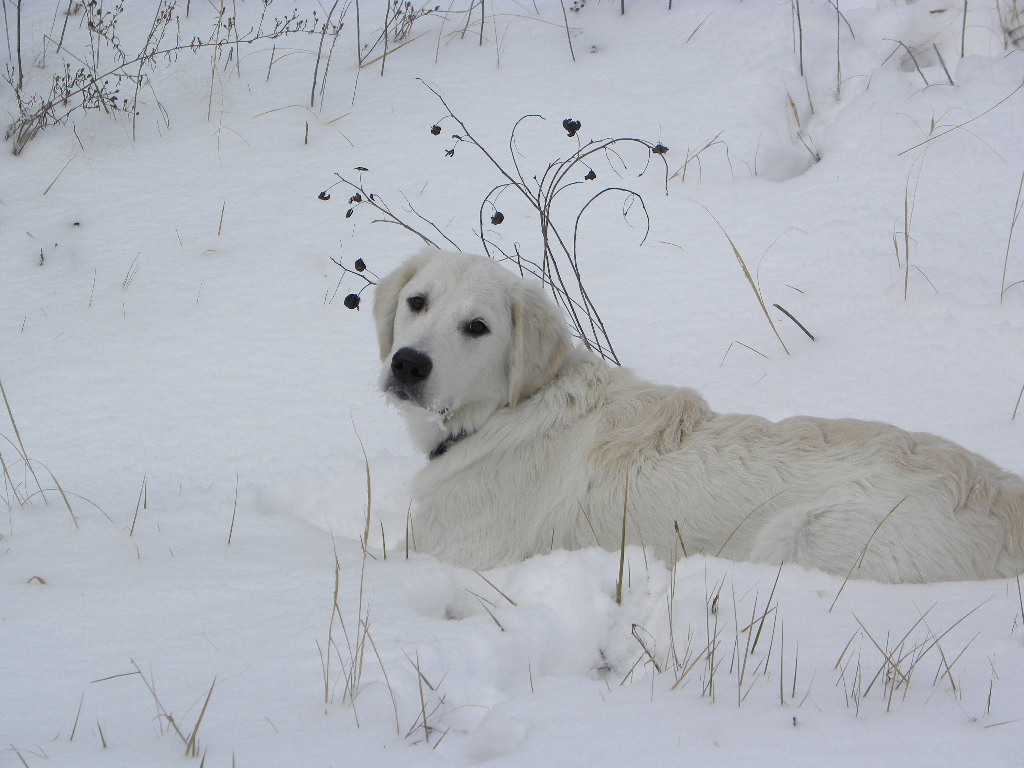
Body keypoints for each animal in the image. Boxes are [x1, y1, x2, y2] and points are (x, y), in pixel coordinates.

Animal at [373, 248, 1024, 583]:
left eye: (477, 327)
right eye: (416, 302)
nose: (408, 364)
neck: (503, 411)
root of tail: (1002, 495)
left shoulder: (460, 554)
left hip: (808, 536)